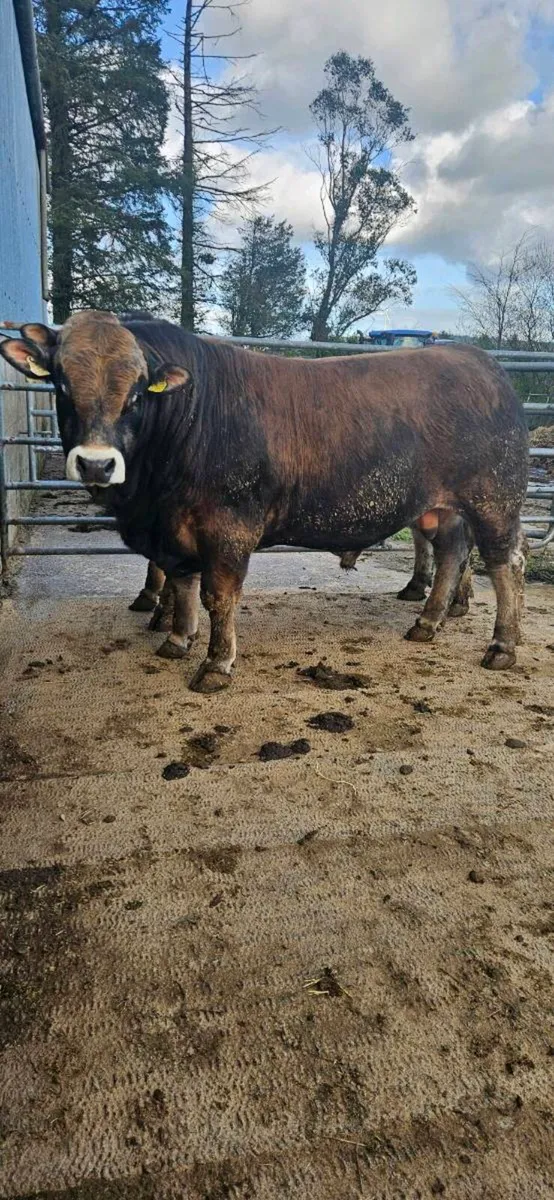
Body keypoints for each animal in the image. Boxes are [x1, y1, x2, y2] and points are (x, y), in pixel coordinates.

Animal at [0, 311, 528, 692]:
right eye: (62, 385)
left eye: (135, 393)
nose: (96, 463)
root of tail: (479, 360)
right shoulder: (176, 530)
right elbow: (182, 581)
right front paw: (177, 638)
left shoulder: (227, 526)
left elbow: (219, 595)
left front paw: (216, 664)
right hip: (443, 508)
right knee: (452, 553)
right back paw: (428, 621)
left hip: (495, 500)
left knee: (506, 562)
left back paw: (502, 646)